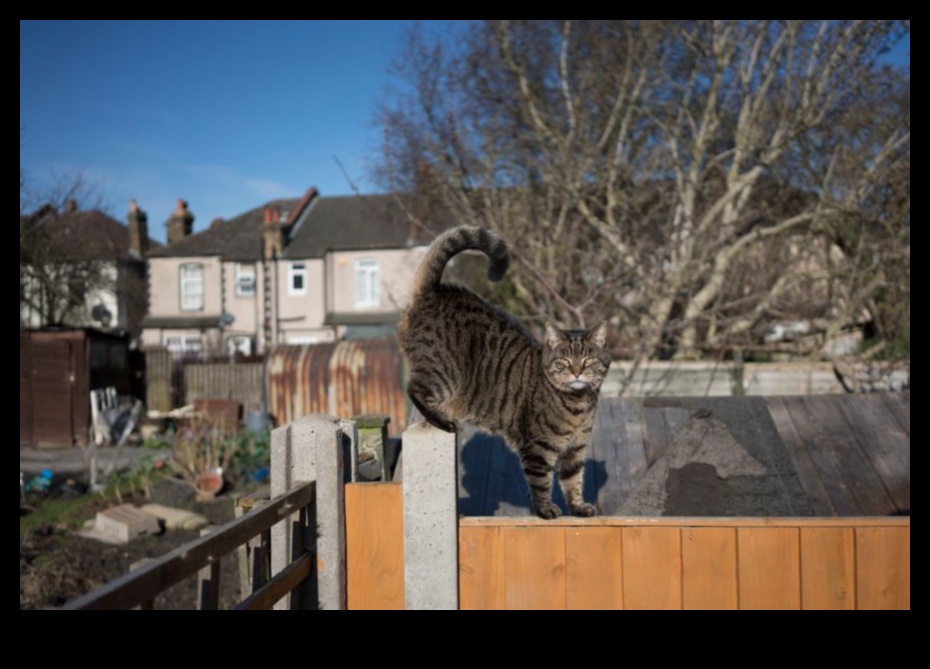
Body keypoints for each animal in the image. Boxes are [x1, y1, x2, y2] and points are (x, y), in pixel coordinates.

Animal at [396, 224, 608, 516]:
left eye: (588, 361)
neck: (577, 404)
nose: (576, 372)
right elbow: (541, 482)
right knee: (414, 389)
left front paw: (577, 507)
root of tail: (433, 291)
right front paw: (545, 510)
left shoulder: (575, 451)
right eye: (564, 361)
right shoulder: (538, 448)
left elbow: (573, 481)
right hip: (444, 377)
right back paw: (444, 421)